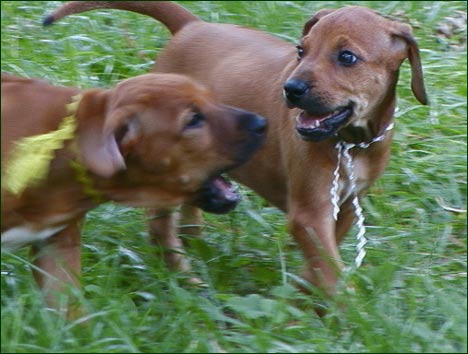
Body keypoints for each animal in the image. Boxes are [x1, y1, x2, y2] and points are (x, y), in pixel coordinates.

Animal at [46, 2, 428, 300]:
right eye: (301, 51)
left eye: (347, 57)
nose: (291, 89)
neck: (351, 141)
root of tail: (191, 26)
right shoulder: (310, 211)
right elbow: (328, 266)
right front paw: (348, 313)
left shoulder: (346, 205)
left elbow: (322, 262)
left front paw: (304, 297)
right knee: (160, 225)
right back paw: (182, 274)